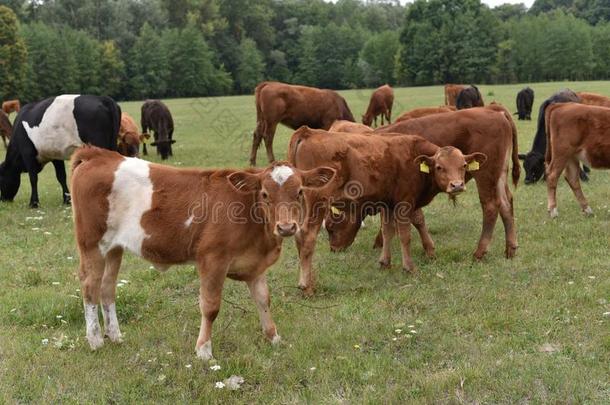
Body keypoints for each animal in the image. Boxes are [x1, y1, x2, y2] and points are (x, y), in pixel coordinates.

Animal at [72, 146, 338, 360]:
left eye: (300, 192)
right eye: (265, 194)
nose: (286, 227)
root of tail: (98, 154)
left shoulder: (255, 265)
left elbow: (263, 299)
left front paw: (273, 337)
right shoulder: (212, 260)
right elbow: (210, 307)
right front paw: (203, 350)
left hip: (114, 248)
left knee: (107, 288)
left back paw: (115, 336)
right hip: (92, 244)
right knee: (89, 286)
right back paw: (95, 339)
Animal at [320, 105, 516, 272]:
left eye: (330, 226)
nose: (333, 249)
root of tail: (495, 111)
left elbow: (410, 221)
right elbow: (407, 221)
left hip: (485, 177)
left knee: (491, 207)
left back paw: (479, 252)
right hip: (499, 176)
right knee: (506, 204)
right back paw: (510, 249)